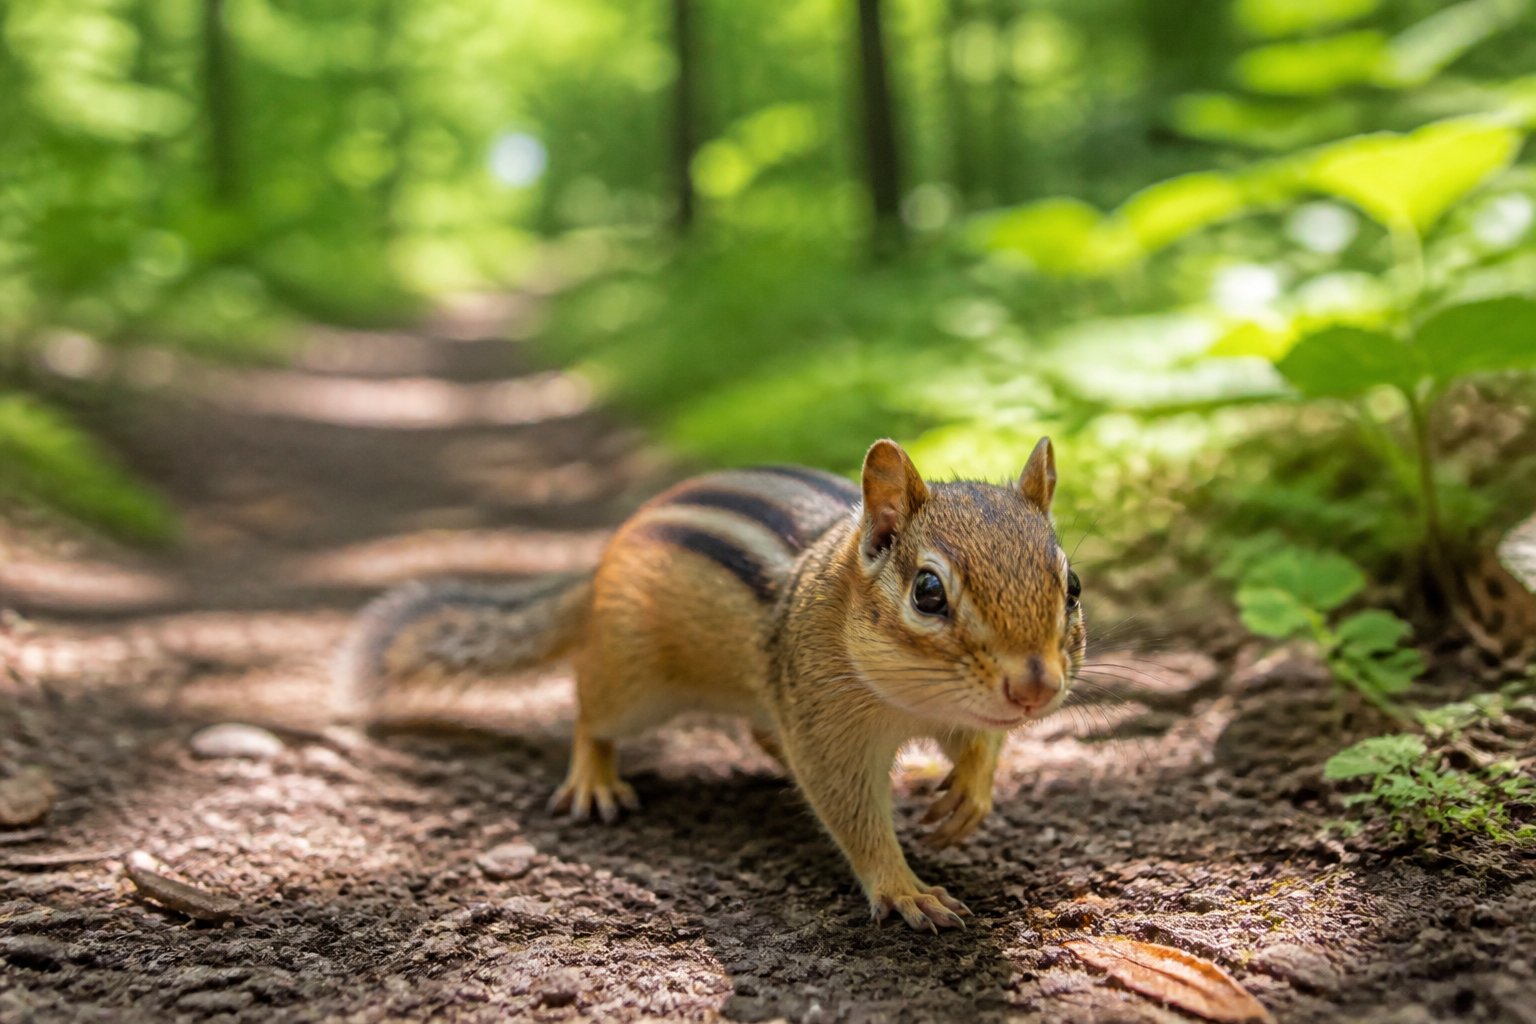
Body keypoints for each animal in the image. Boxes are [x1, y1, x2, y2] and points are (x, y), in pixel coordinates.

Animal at [337, 437, 1086, 932]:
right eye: (928, 593)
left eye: (1072, 585)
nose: (1035, 689)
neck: (913, 701)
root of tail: (604, 559)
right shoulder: (825, 728)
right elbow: (852, 814)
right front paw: (905, 888)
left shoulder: (964, 716)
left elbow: (985, 748)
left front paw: (967, 801)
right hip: (632, 683)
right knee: (590, 715)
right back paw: (593, 779)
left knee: (759, 729)